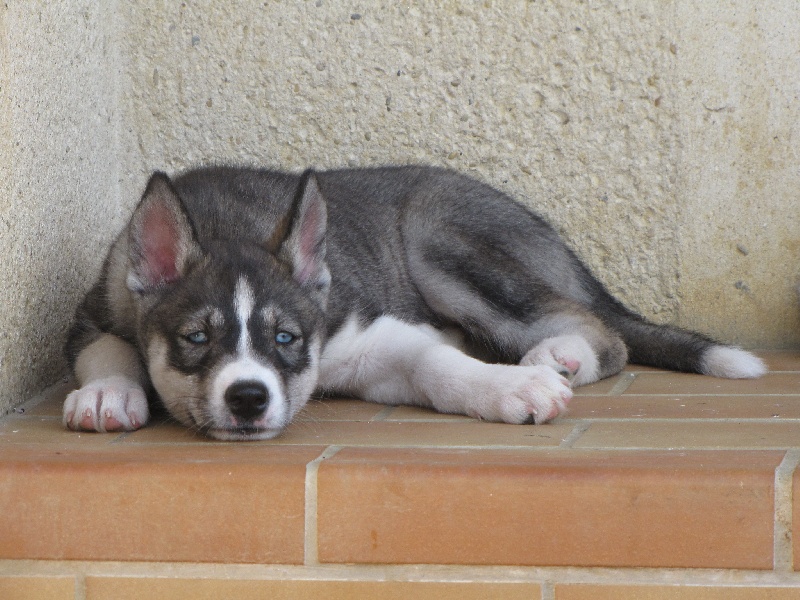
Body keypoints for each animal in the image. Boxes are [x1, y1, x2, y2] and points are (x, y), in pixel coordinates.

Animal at [63, 165, 766, 440]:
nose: (248, 399)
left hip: (440, 241)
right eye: (196, 338)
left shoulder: (363, 334)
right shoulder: (97, 308)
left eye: (286, 338)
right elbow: (108, 349)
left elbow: (435, 364)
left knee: (599, 330)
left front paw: (511, 389)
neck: (222, 219)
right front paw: (105, 396)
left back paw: (555, 357)